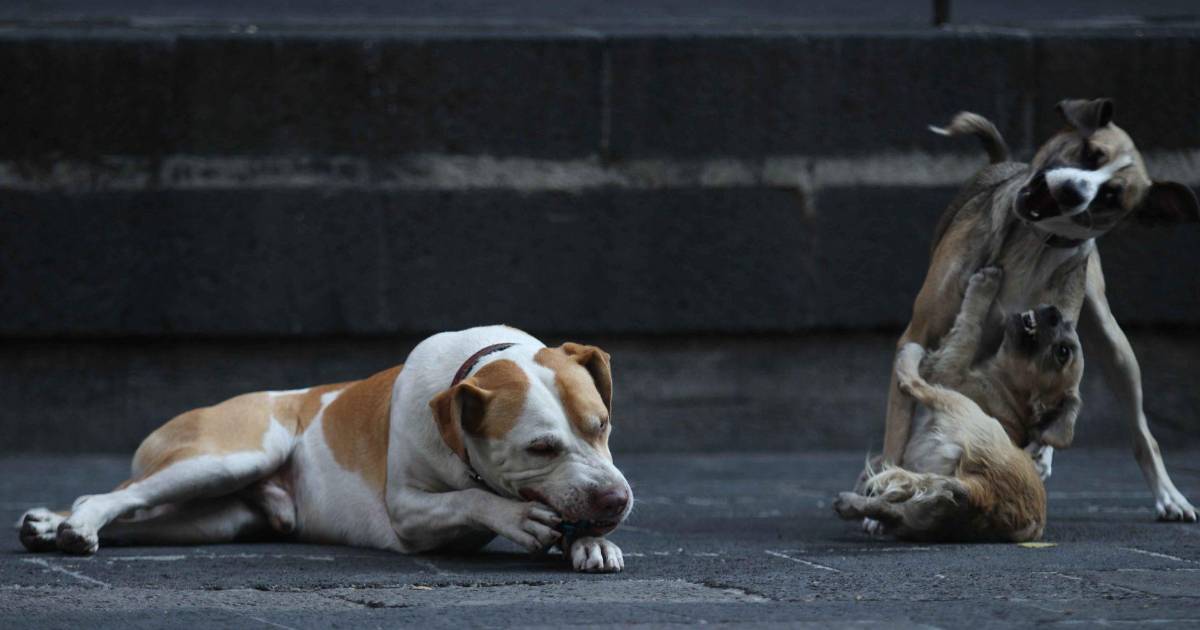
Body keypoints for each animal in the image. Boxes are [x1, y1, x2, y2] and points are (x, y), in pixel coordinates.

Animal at [17, 325, 634, 573]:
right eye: (540, 448)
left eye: (602, 425)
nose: (618, 501)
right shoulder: (407, 511)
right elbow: (470, 499)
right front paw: (515, 517)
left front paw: (592, 545)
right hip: (225, 457)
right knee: (110, 495)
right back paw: (75, 526)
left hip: (215, 518)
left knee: (138, 516)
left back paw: (48, 526)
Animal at [837, 267, 1082, 541]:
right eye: (1065, 328)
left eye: (1063, 352)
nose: (1055, 312)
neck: (1009, 391)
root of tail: (984, 495)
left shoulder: (947, 368)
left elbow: (968, 330)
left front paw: (985, 285)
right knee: (897, 504)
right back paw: (852, 501)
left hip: (954, 402)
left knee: (913, 382)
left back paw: (910, 354)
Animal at [878, 99, 1199, 522]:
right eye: (1090, 152)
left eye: (1111, 196)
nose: (1073, 190)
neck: (1031, 245)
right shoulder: (918, 333)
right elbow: (898, 424)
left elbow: (1059, 394)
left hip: (1115, 347)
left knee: (1140, 430)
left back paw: (1167, 494)